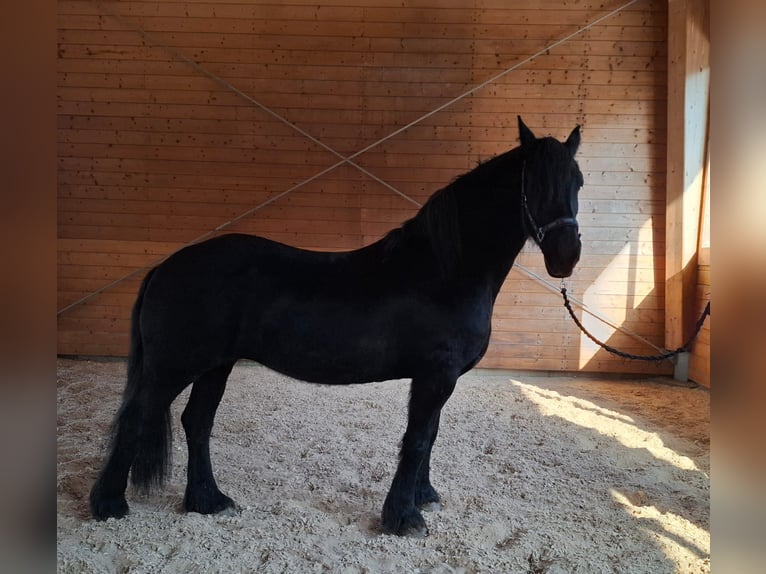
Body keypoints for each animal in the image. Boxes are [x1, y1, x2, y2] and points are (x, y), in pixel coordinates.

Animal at [89, 116, 583, 537]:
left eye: (577, 181)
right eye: (533, 184)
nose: (566, 257)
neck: (444, 270)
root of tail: (165, 267)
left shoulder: (441, 378)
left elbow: (431, 435)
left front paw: (423, 496)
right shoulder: (435, 375)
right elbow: (418, 439)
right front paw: (403, 518)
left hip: (216, 365)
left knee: (197, 422)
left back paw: (208, 500)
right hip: (174, 366)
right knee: (137, 416)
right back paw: (109, 504)